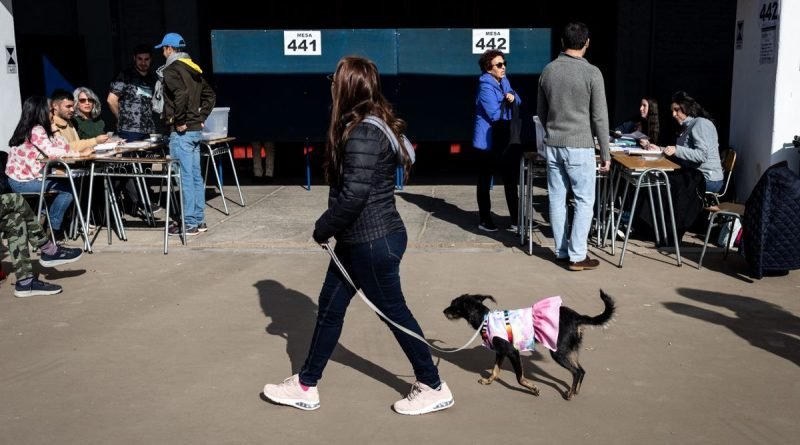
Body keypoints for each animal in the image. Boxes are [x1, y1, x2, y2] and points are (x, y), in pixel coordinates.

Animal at [444, 290, 612, 398]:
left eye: (453, 305)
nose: (443, 311)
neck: (485, 319)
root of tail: (578, 317)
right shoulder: (500, 352)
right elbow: (495, 370)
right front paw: (488, 381)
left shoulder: (512, 352)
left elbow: (519, 378)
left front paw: (533, 389)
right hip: (569, 350)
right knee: (582, 371)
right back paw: (574, 391)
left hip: (558, 352)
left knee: (576, 371)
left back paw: (569, 394)